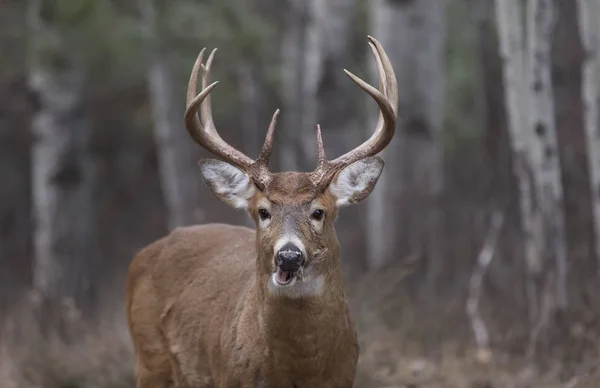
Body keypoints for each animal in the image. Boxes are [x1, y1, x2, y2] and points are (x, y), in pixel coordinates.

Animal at [126, 34, 398, 386]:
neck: (300, 370)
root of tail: (142, 255)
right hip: (148, 359)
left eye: (319, 212)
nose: (289, 256)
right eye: (263, 212)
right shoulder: (230, 377)